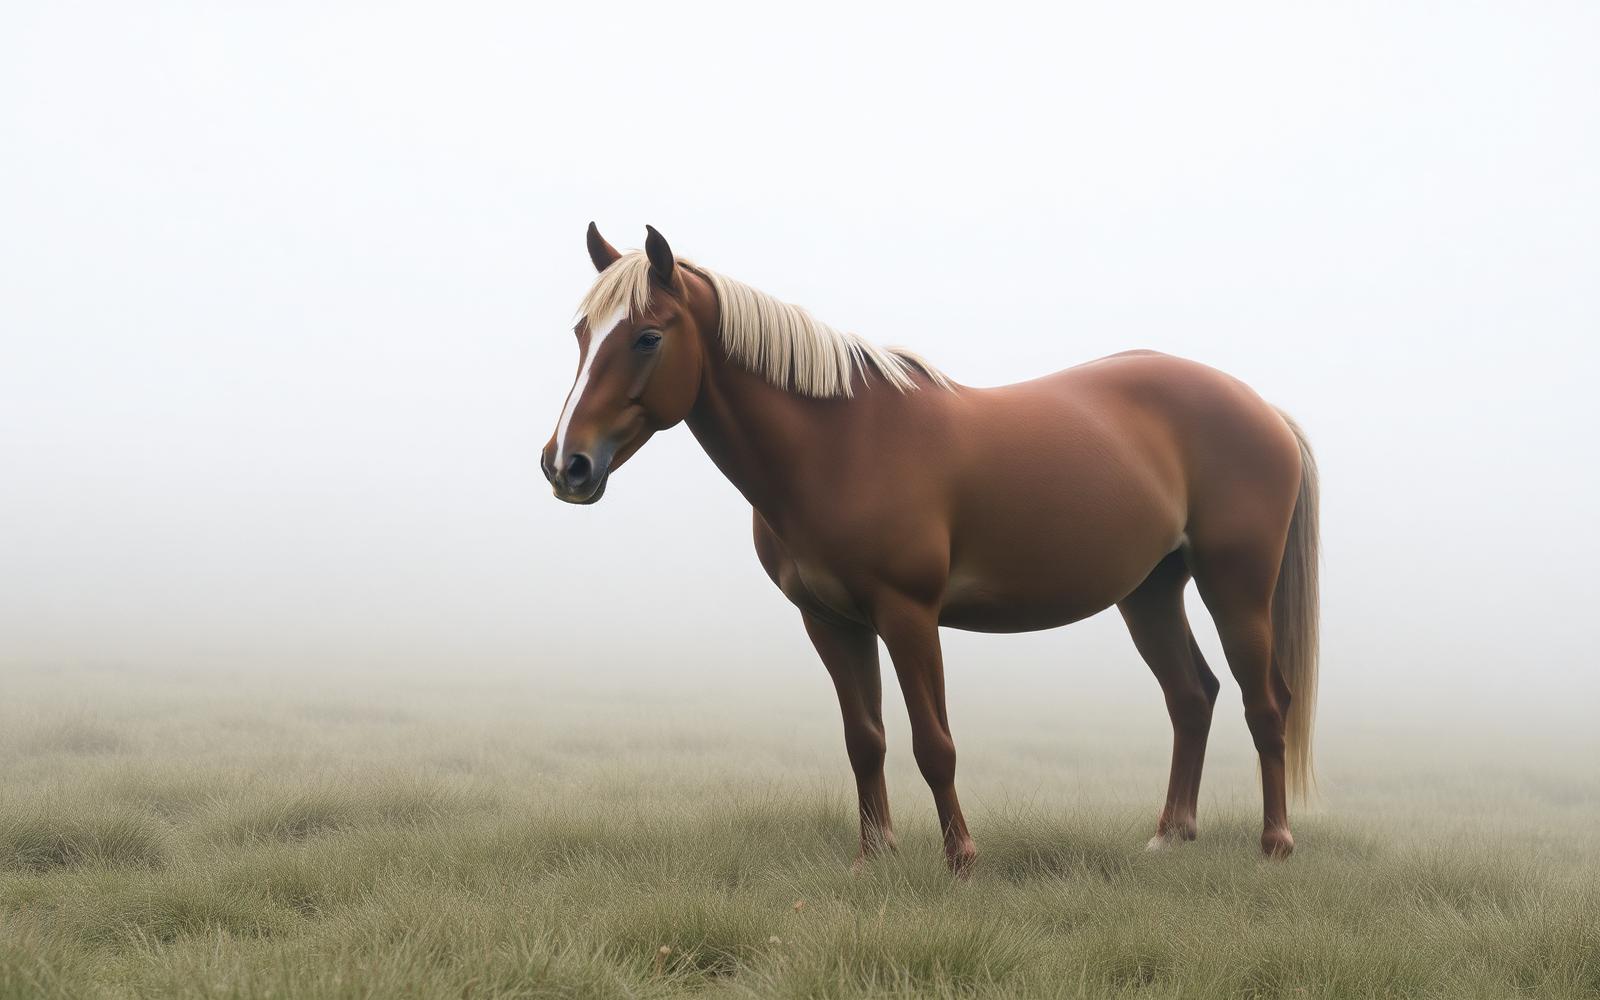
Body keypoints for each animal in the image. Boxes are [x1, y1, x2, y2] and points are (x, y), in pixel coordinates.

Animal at [542, 223, 1319, 872]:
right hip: (1150, 591)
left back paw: (1275, 843)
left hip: (1235, 588)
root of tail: (1263, 409)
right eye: (582, 332)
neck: (840, 447)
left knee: (1264, 703)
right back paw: (1170, 835)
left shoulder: (908, 615)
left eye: (647, 336)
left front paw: (961, 860)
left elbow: (933, 743)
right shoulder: (830, 621)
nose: (566, 465)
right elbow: (866, 739)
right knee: (1192, 697)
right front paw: (874, 855)